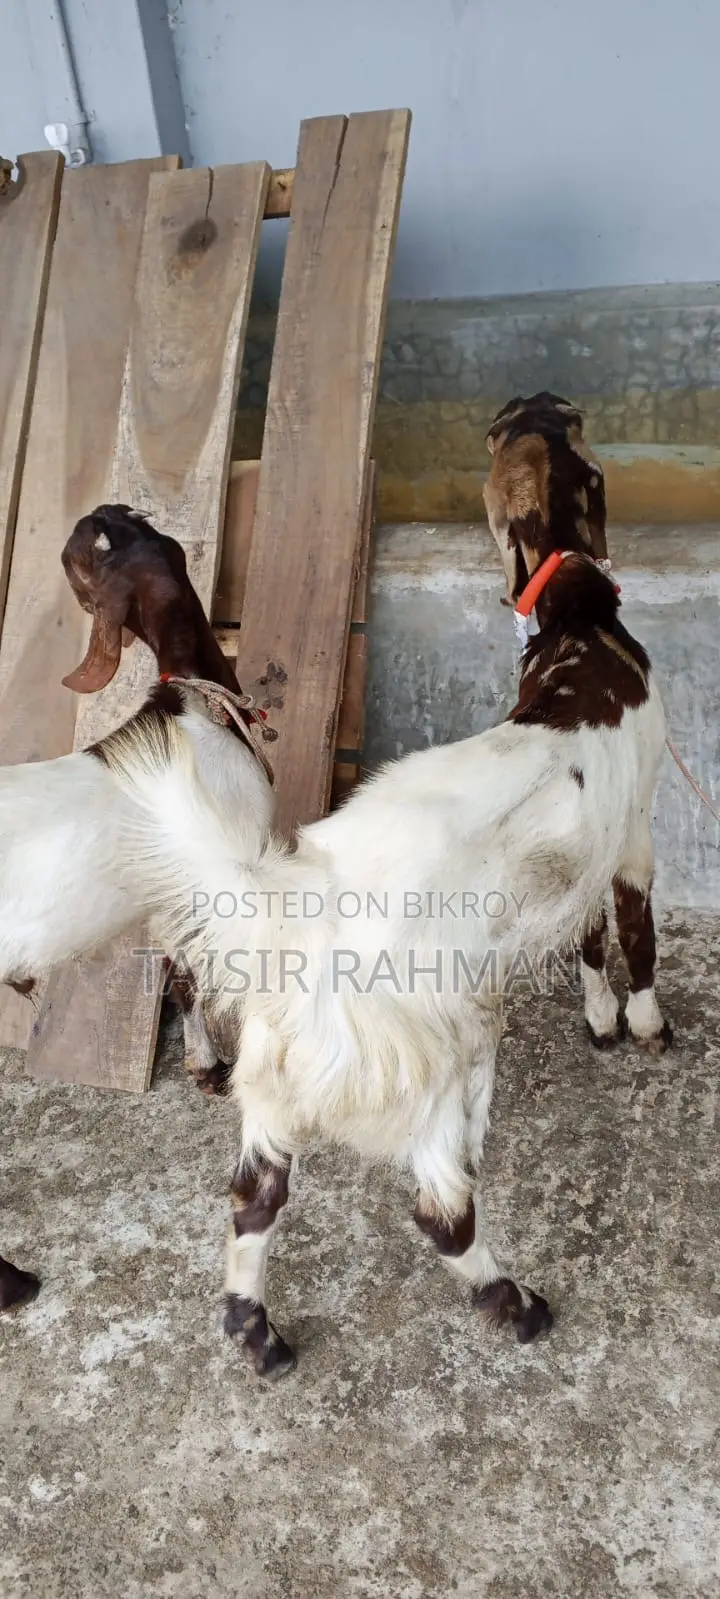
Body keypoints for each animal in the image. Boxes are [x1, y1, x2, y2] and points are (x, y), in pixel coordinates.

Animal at [0, 505, 274, 1313]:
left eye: (119, 534)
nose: (101, 513)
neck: (194, 708)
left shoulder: (171, 895)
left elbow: (181, 976)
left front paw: (205, 1067)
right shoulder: (234, 872)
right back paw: (14, 1284)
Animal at [94, 397, 670, 1378]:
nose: (531, 404)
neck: (578, 634)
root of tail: (292, 919)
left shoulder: (586, 860)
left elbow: (589, 936)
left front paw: (598, 1020)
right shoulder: (632, 835)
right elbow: (637, 936)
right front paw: (648, 1029)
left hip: (275, 1083)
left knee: (252, 1196)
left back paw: (259, 1335)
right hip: (434, 1056)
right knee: (440, 1207)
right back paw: (518, 1306)